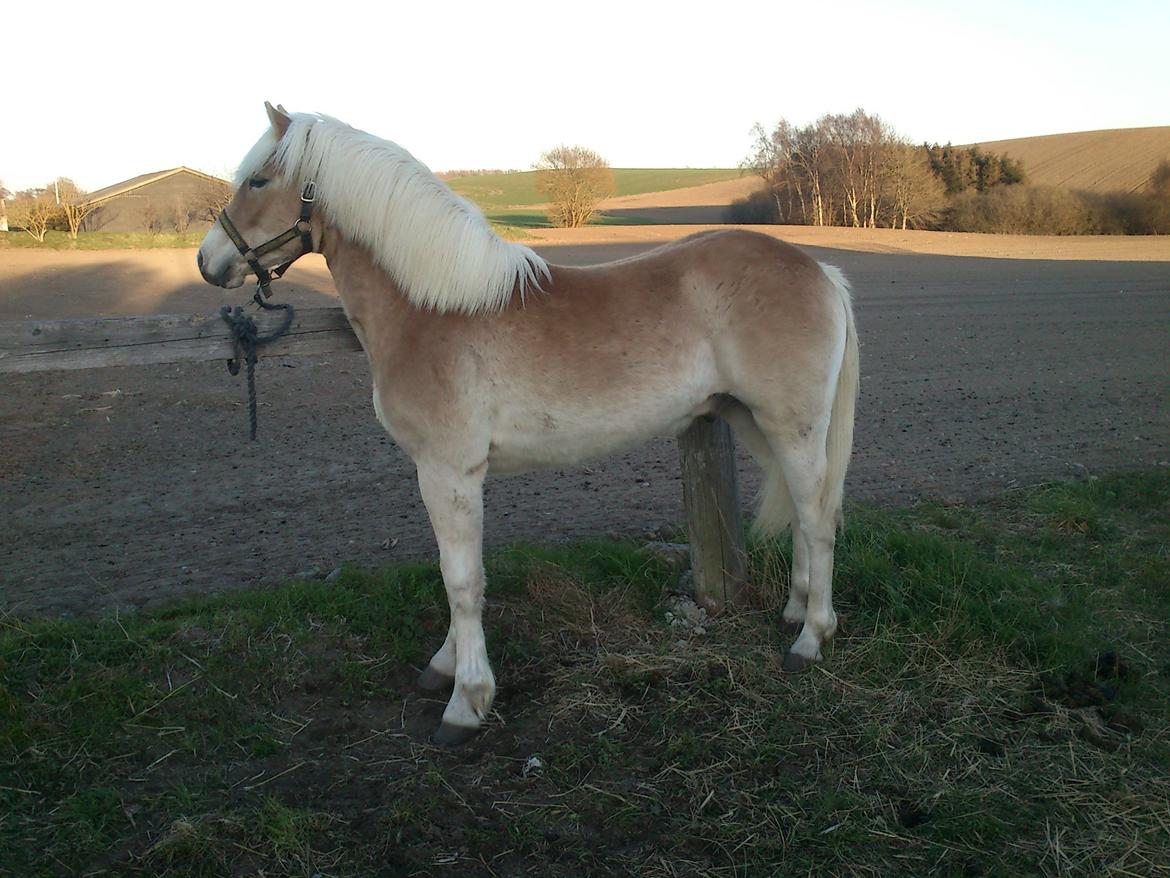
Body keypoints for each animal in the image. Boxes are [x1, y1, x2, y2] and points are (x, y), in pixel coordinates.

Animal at [196, 104, 861, 749]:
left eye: (259, 180)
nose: (207, 261)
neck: (431, 308)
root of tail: (821, 270)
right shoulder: (445, 474)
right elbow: (459, 573)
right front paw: (445, 666)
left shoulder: (448, 471)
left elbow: (461, 580)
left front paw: (466, 702)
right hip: (756, 423)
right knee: (802, 513)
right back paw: (796, 611)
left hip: (793, 427)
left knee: (818, 518)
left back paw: (811, 638)